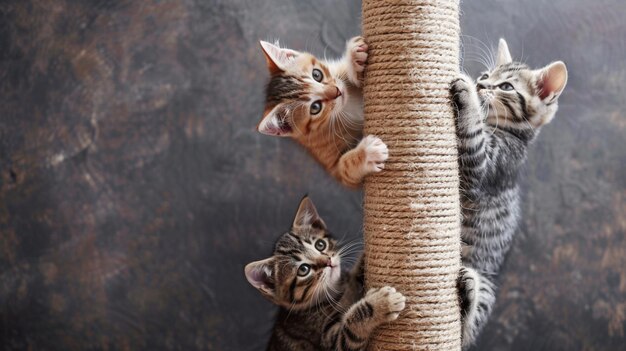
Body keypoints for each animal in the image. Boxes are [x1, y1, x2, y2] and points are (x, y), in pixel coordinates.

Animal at [244, 198, 404, 351]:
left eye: (320, 245)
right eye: (303, 269)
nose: (328, 261)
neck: (339, 291)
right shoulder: (329, 340)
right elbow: (350, 330)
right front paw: (384, 302)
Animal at [255, 37, 386, 188]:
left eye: (317, 74)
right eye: (315, 107)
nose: (337, 92)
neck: (345, 108)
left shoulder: (337, 74)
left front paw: (354, 59)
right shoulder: (333, 168)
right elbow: (345, 168)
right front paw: (368, 153)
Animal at [450, 39, 568, 350]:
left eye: (506, 86)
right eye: (486, 75)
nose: (480, 83)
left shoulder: (484, 167)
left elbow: (472, 136)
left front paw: (467, 94)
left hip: (488, 287)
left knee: (465, 334)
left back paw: (467, 297)